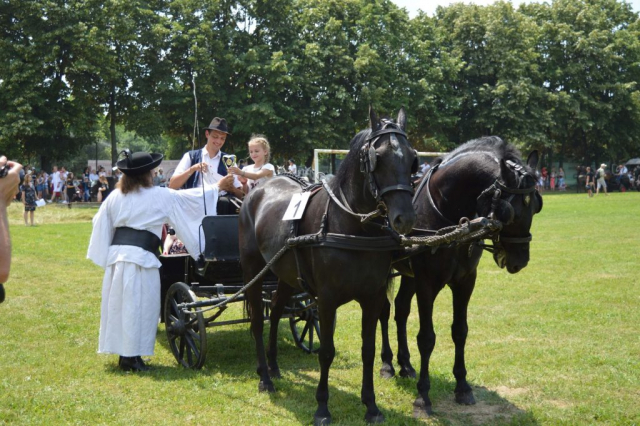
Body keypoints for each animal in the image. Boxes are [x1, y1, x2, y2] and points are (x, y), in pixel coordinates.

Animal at [240, 108, 420, 424]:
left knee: (275, 310)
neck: (352, 225)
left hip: (286, 275)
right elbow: (326, 351)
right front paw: (322, 408)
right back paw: (265, 378)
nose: (405, 218)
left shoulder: (372, 297)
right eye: (378, 156)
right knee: (258, 322)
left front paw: (371, 405)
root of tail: (258, 188)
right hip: (253, 271)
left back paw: (273, 366)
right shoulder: (326, 299)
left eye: (412, 158)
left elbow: (368, 349)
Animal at [378, 136, 544, 416]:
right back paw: (387, 365)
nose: (519, 260)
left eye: (536, 207)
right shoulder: (427, 283)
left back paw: (406, 365)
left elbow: (460, 331)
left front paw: (463, 387)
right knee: (383, 313)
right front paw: (423, 397)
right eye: (509, 211)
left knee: (400, 310)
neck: (449, 215)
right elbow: (427, 338)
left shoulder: (465, 282)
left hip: (409, 276)